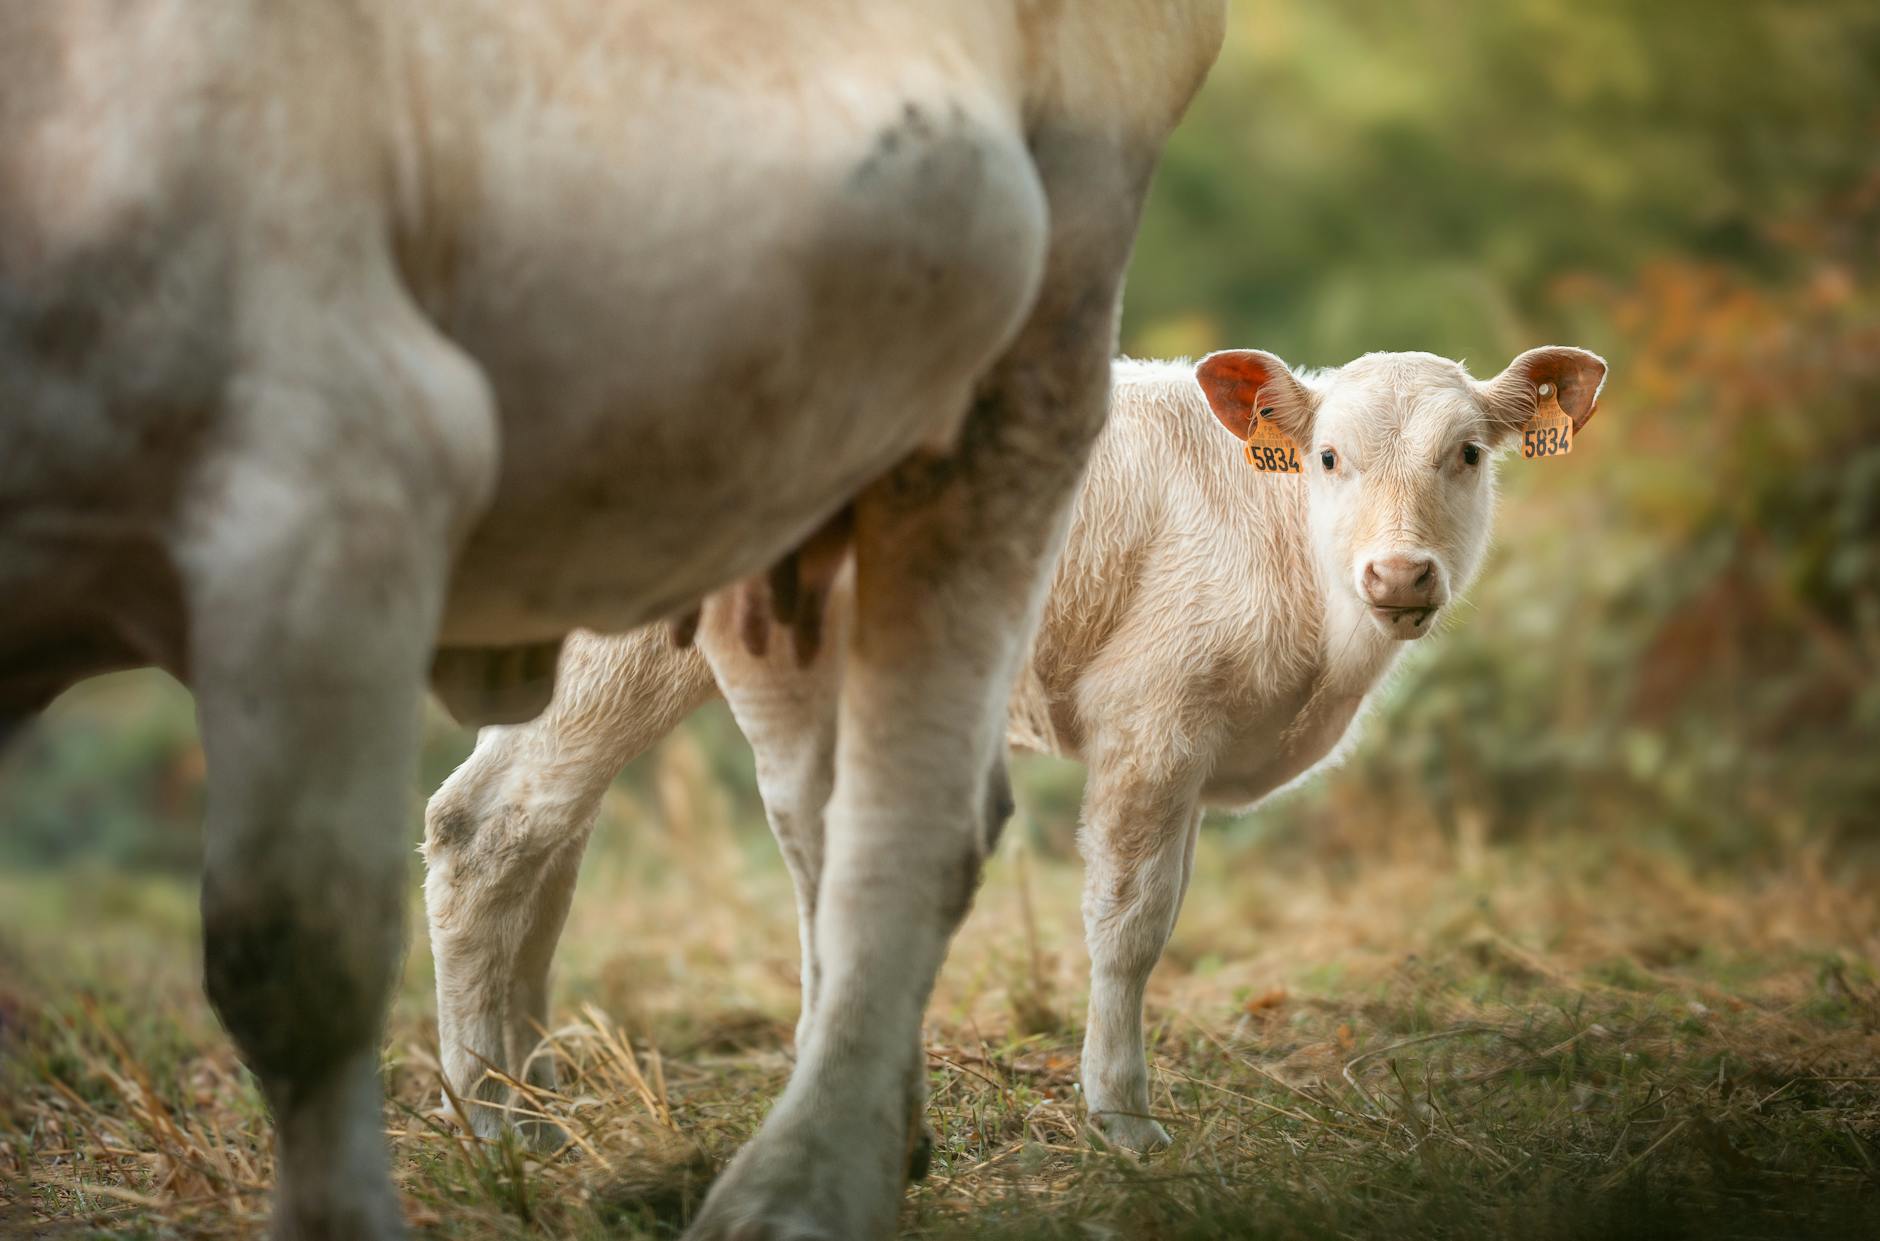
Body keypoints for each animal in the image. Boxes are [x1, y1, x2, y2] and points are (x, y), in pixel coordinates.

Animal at [0, 2, 1226, 1236]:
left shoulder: (329, 490)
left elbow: (294, 959)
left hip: (1032, 342)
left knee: (914, 814)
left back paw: (798, 1183)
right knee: (631, 813)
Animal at [423, 345, 1607, 1153]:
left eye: (1466, 455)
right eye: (1326, 456)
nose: (1399, 572)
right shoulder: (1149, 725)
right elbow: (1129, 925)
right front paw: (1123, 1119)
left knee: (550, 849)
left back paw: (537, 1091)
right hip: (614, 662)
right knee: (482, 831)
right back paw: (490, 1116)